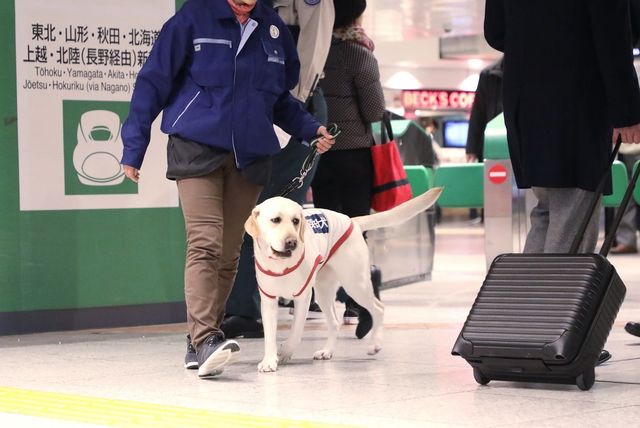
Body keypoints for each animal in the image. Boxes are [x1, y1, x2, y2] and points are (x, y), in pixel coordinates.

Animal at [246, 187, 444, 372]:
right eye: (275, 220)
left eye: (295, 221)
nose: (292, 242)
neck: (281, 265)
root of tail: (352, 221)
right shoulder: (268, 300)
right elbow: (269, 335)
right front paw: (269, 360)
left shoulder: (303, 297)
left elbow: (295, 332)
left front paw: (285, 351)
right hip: (324, 291)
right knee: (334, 322)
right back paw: (327, 351)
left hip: (354, 283)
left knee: (379, 308)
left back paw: (375, 344)